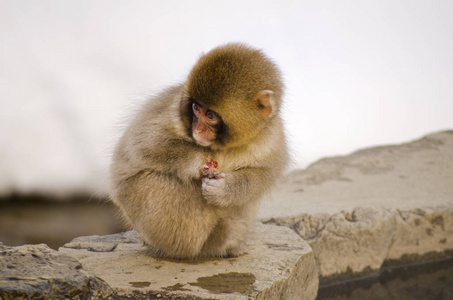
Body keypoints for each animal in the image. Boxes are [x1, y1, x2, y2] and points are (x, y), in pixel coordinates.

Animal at [109, 42, 288, 260]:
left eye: (210, 115)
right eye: (196, 108)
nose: (198, 130)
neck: (222, 145)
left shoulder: (271, 137)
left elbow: (265, 175)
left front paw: (225, 189)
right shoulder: (170, 110)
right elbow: (141, 144)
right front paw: (200, 161)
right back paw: (216, 241)